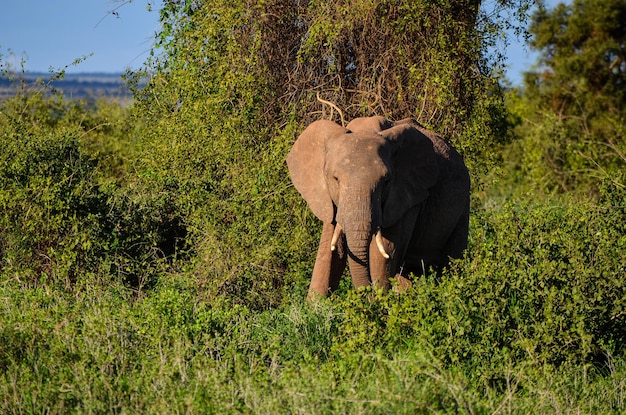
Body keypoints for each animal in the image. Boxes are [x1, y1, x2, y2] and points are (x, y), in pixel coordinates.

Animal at [286, 115, 468, 300]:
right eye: (335, 179)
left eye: (386, 181)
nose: (367, 293)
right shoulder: (329, 200)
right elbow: (329, 252)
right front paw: (314, 304)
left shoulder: (406, 197)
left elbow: (385, 252)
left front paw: (380, 302)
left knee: (451, 261)